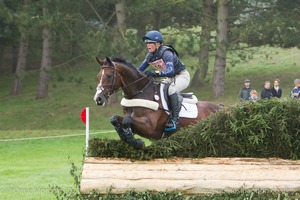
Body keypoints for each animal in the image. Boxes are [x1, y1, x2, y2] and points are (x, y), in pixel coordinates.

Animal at [94, 56, 223, 148]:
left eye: (109, 76)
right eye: (98, 76)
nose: (98, 99)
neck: (139, 93)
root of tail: (219, 107)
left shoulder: (149, 127)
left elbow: (126, 121)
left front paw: (135, 142)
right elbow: (115, 119)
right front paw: (126, 137)